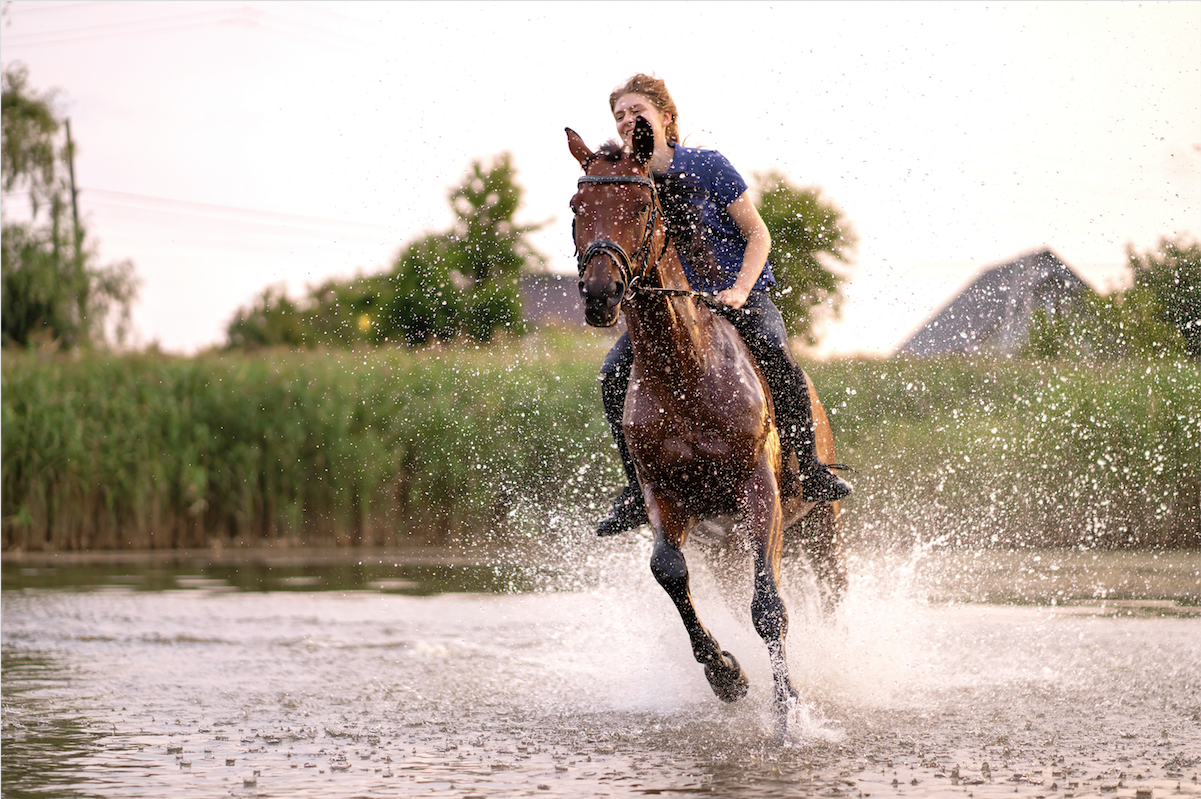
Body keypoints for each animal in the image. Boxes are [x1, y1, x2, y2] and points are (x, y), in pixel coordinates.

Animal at [566, 115, 850, 730]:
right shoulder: (664, 495)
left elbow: (768, 607)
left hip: (821, 528)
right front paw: (725, 675)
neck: (685, 369)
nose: (600, 294)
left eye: (642, 205)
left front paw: (788, 709)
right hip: (724, 549)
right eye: (577, 206)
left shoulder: (759, 491)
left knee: (833, 596)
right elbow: (668, 572)